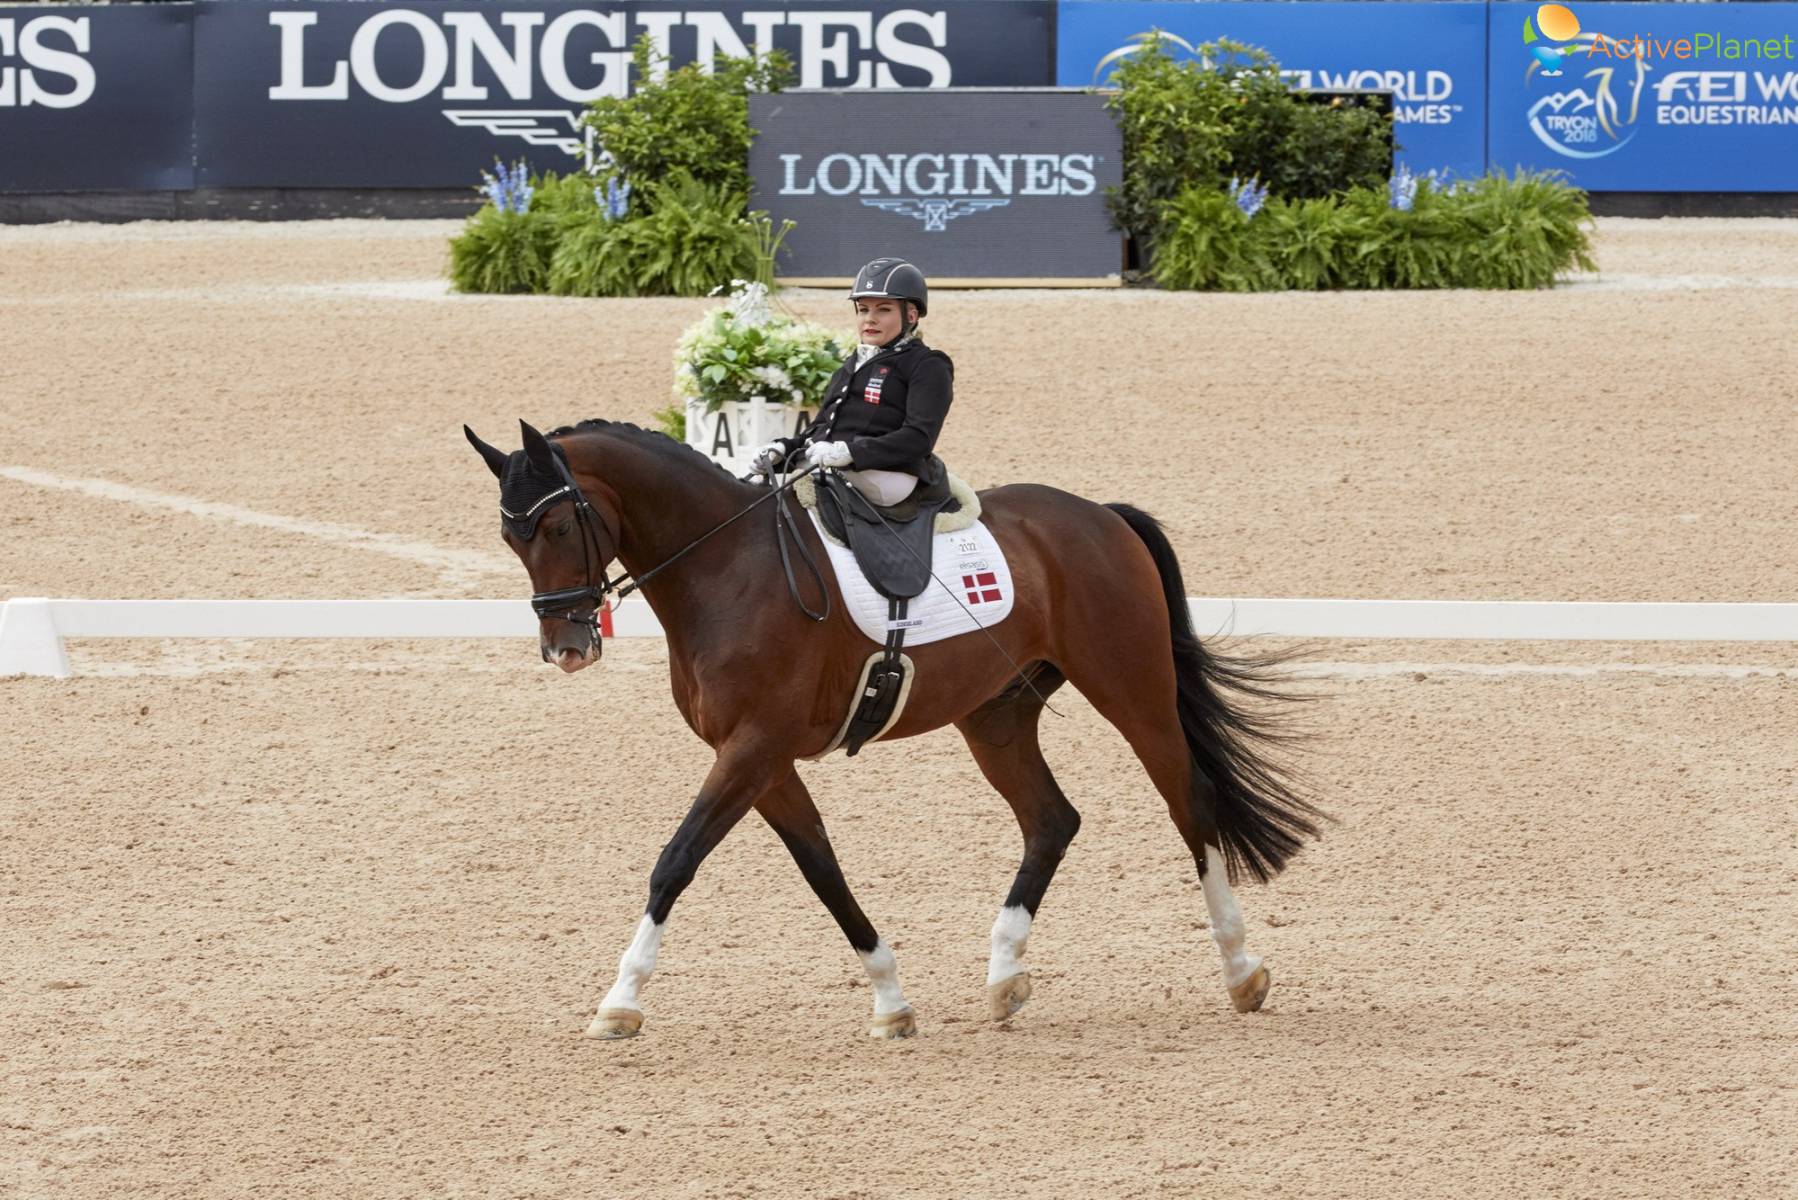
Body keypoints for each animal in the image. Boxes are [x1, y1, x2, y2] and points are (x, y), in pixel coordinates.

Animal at [471, 420, 1330, 1043]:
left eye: (556, 526)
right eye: (512, 537)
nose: (566, 648)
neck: (725, 568)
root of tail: (1099, 516)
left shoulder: (754, 748)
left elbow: (674, 862)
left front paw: (619, 1000)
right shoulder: (763, 759)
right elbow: (822, 869)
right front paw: (890, 1001)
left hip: (1133, 691)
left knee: (1191, 805)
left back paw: (1242, 971)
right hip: (997, 716)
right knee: (1052, 819)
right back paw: (1003, 978)